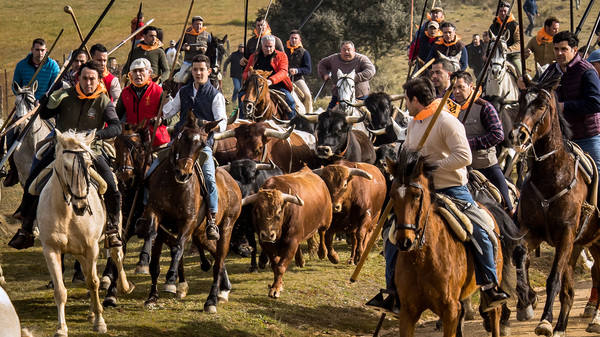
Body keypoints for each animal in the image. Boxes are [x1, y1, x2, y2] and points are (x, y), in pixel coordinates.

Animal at [37, 129, 132, 336]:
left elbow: (94, 282)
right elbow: (60, 290)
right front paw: (61, 328)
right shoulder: (51, 250)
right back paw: (91, 311)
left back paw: (123, 287)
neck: (66, 213)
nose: (81, 206)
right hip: (79, 252)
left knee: (116, 257)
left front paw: (100, 322)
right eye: (65, 166)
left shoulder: (91, 248)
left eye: (89, 165)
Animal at [141, 113, 244, 312]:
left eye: (202, 144)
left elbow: (179, 246)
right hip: (201, 234)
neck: (174, 186)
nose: (183, 173)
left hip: (226, 228)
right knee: (214, 254)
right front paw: (151, 292)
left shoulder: (187, 222)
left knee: (218, 262)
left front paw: (171, 278)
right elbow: (152, 247)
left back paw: (212, 300)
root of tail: (233, 184)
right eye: (182, 138)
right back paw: (224, 289)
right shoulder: (156, 215)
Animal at [243, 167, 332, 296]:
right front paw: (278, 285)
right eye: (256, 211)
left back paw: (324, 253)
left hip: (326, 220)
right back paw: (300, 260)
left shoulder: (291, 242)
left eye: (279, 211)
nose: (268, 235)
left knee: (322, 233)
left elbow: (280, 267)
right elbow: (275, 265)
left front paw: (275, 288)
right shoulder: (266, 244)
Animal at [386, 150, 504, 336]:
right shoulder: (407, 312)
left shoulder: (450, 310)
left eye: (417, 195)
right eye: (392, 196)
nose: (404, 241)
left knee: (495, 312)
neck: (422, 258)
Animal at [508, 73, 600, 334]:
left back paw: (595, 319)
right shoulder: (532, 231)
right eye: (521, 100)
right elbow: (521, 256)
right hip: (585, 244)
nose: (517, 135)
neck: (553, 175)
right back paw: (562, 325)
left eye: (541, 104)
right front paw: (526, 300)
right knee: (575, 286)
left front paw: (545, 321)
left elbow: (554, 279)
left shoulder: (566, 234)